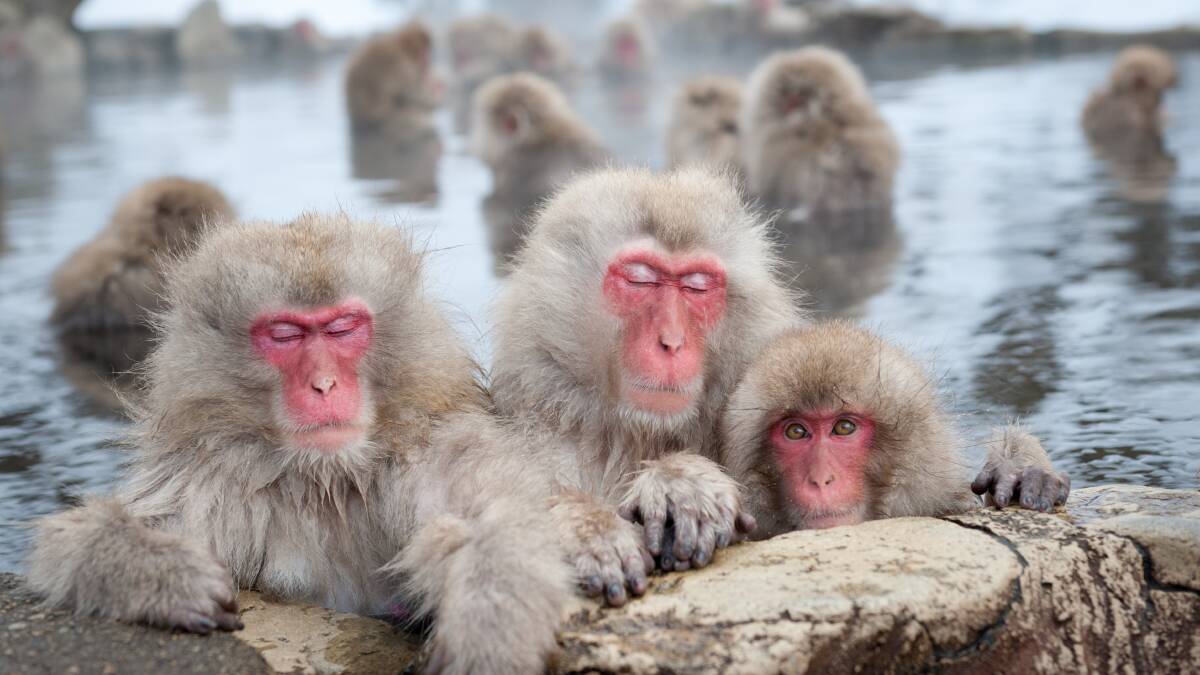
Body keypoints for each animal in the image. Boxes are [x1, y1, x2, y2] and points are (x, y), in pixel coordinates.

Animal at [28, 214, 573, 674]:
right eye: (286, 334)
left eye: (342, 328)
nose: (324, 385)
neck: (327, 477)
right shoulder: (209, 478)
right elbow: (73, 541)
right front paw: (165, 575)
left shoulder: (430, 452)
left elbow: (495, 517)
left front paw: (487, 628)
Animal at [491, 166, 805, 601]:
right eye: (640, 281)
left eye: (697, 286)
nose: (671, 341)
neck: (635, 436)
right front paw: (588, 527)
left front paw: (683, 483)